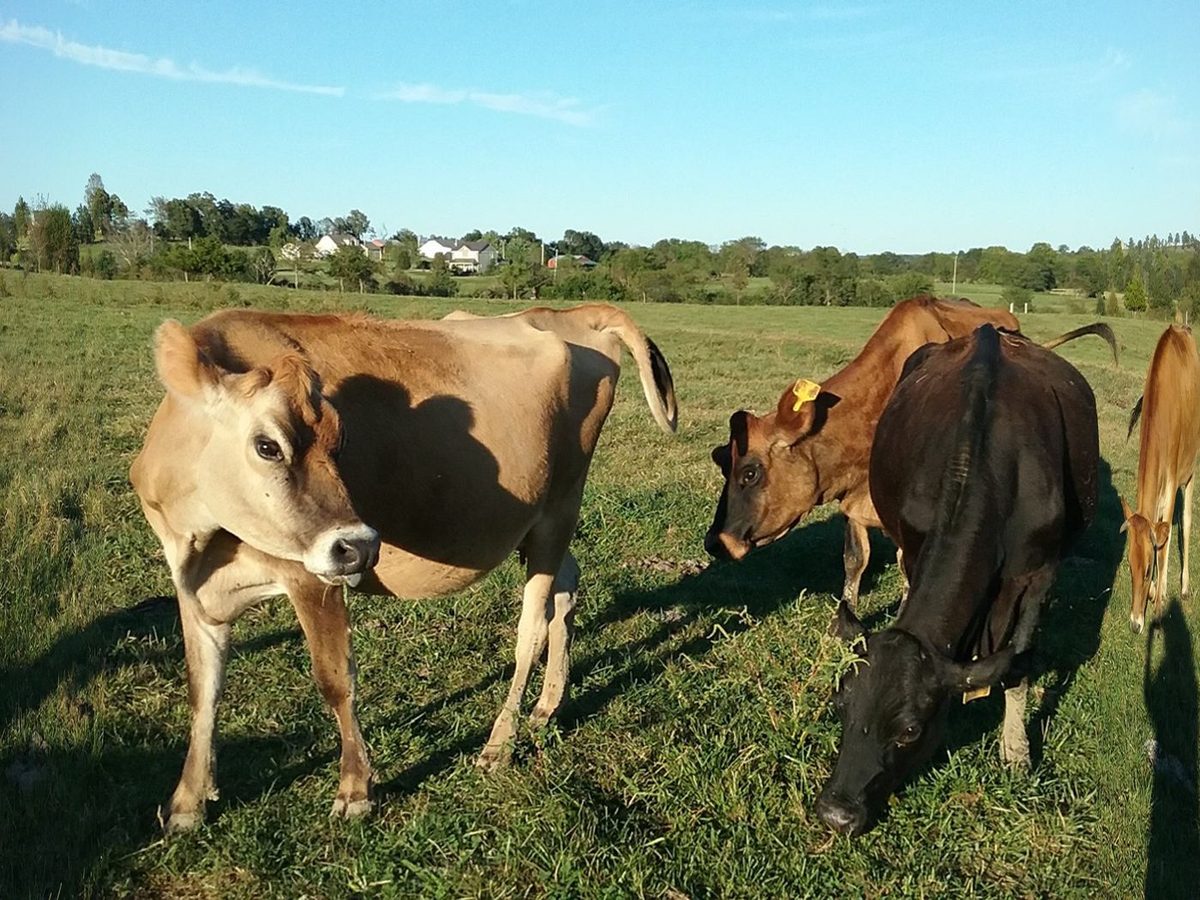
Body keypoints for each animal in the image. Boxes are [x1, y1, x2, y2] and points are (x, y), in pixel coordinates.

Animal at [129, 303, 677, 832]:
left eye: (339, 443)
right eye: (267, 445)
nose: (360, 546)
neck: (203, 539)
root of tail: (571, 314)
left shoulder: (311, 576)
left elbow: (335, 680)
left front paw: (355, 791)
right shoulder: (190, 582)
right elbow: (203, 688)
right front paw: (187, 802)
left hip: (558, 508)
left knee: (533, 626)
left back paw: (499, 743)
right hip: (540, 525)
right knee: (567, 588)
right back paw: (548, 706)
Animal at [815, 324, 1100, 836]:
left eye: (910, 730)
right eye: (840, 704)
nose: (836, 813)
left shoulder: (1038, 574)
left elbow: (1019, 661)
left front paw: (1016, 752)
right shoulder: (915, 544)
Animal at [1121, 324, 1200, 634]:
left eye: (1147, 571)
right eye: (1129, 567)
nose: (1134, 624)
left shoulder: (1173, 479)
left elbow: (1165, 546)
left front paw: (1160, 597)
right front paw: (1156, 590)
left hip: (1191, 470)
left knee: (1186, 523)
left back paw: (1185, 587)